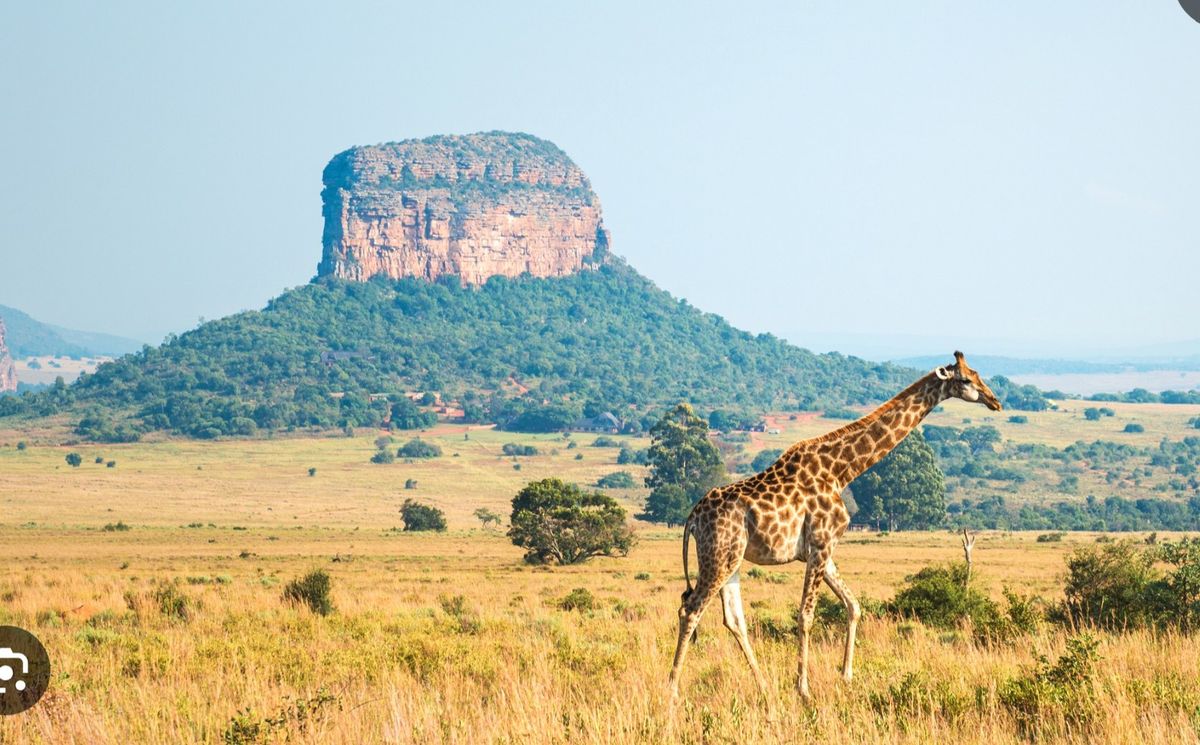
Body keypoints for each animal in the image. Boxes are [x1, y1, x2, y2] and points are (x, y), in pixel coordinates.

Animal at [667, 351, 1001, 703]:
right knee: (690, 611)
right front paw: (803, 689)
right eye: (965, 379)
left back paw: (764, 687)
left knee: (733, 619)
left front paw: (846, 676)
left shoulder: (823, 551)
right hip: (719, 556)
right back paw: (672, 690)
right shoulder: (821, 545)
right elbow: (806, 615)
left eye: (977, 373)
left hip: (732, 559)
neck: (842, 471)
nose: (995, 401)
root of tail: (693, 517)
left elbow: (853, 606)